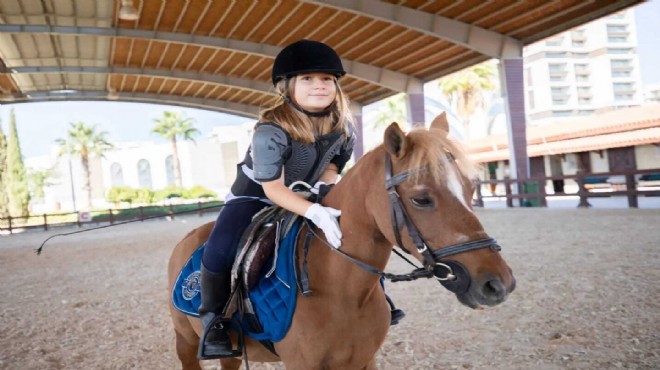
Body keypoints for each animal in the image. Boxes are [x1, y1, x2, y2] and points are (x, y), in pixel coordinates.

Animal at [166, 112, 516, 370]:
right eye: (421, 199)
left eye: (471, 189)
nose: (498, 284)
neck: (342, 289)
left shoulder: (363, 360)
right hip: (186, 342)